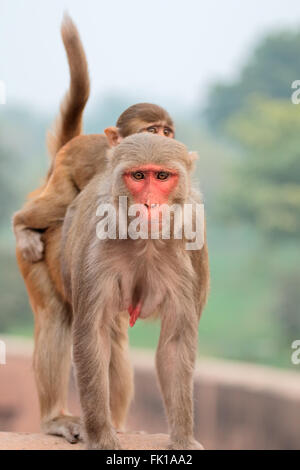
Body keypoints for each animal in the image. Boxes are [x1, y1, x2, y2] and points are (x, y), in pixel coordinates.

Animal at [62, 133, 210, 452]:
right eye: (139, 176)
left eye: (162, 176)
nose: (150, 204)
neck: (146, 241)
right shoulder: (97, 240)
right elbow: (93, 336)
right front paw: (101, 437)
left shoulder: (190, 240)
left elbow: (175, 344)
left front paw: (182, 438)